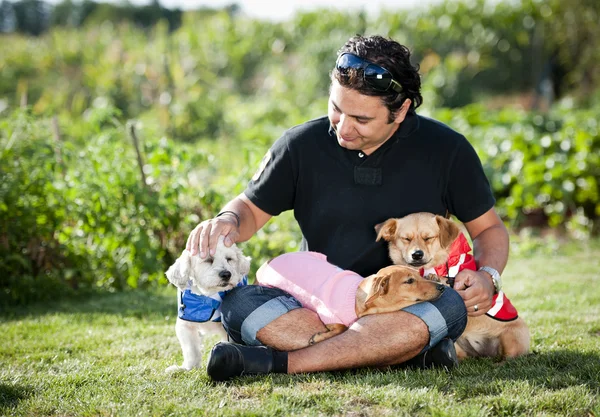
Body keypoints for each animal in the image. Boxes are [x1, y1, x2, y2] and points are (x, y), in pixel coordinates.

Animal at [163, 239, 250, 372]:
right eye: (208, 259)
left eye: (229, 259)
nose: (226, 274)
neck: (209, 296)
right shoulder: (185, 327)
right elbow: (191, 350)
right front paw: (188, 368)